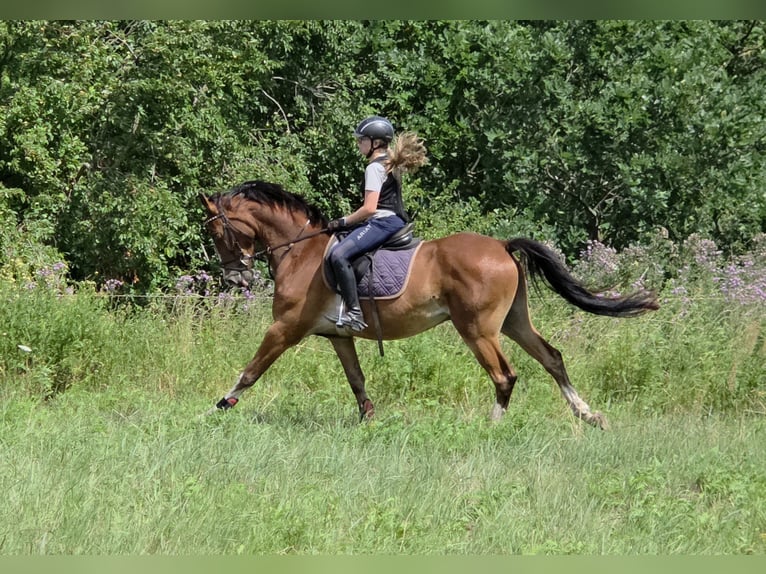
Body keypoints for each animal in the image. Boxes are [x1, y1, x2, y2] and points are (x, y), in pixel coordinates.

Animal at [199, 180, 659, 429]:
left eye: (218, 233)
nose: (235, 279)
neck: (302, 251)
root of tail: (502, 246)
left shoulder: (286, 329)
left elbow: (251, 370)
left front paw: (219, 406)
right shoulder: (337, 336)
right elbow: (357, 381)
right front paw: (369, 421)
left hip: (477, 329)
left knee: (505, 375)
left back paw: (491, 426)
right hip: (513, 322)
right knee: (552, 358)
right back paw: (588, 415)